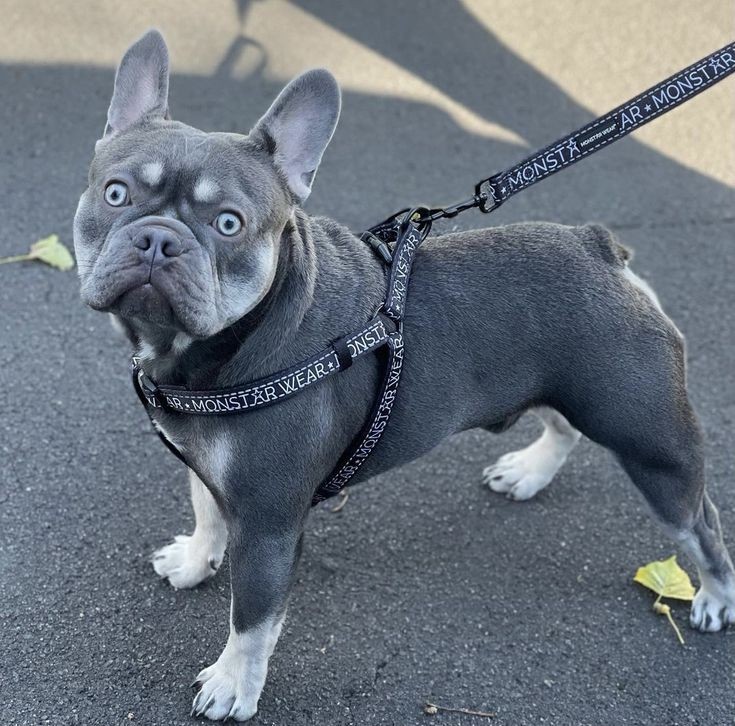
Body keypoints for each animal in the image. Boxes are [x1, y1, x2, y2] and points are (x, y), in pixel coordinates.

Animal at [73, 29, 735, 724]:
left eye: (229, 223)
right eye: (115, 194)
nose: (158, 239)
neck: (212, 350)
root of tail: (602, 250)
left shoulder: (268, 523)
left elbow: (251, 618)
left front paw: (233, 685)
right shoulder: (211, 468)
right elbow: (206, 508)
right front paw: (195, 559)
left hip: (651, 444)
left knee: (701, 524)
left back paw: (715, 595)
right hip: (560, 386)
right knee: (563, 426)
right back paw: (528, 472)